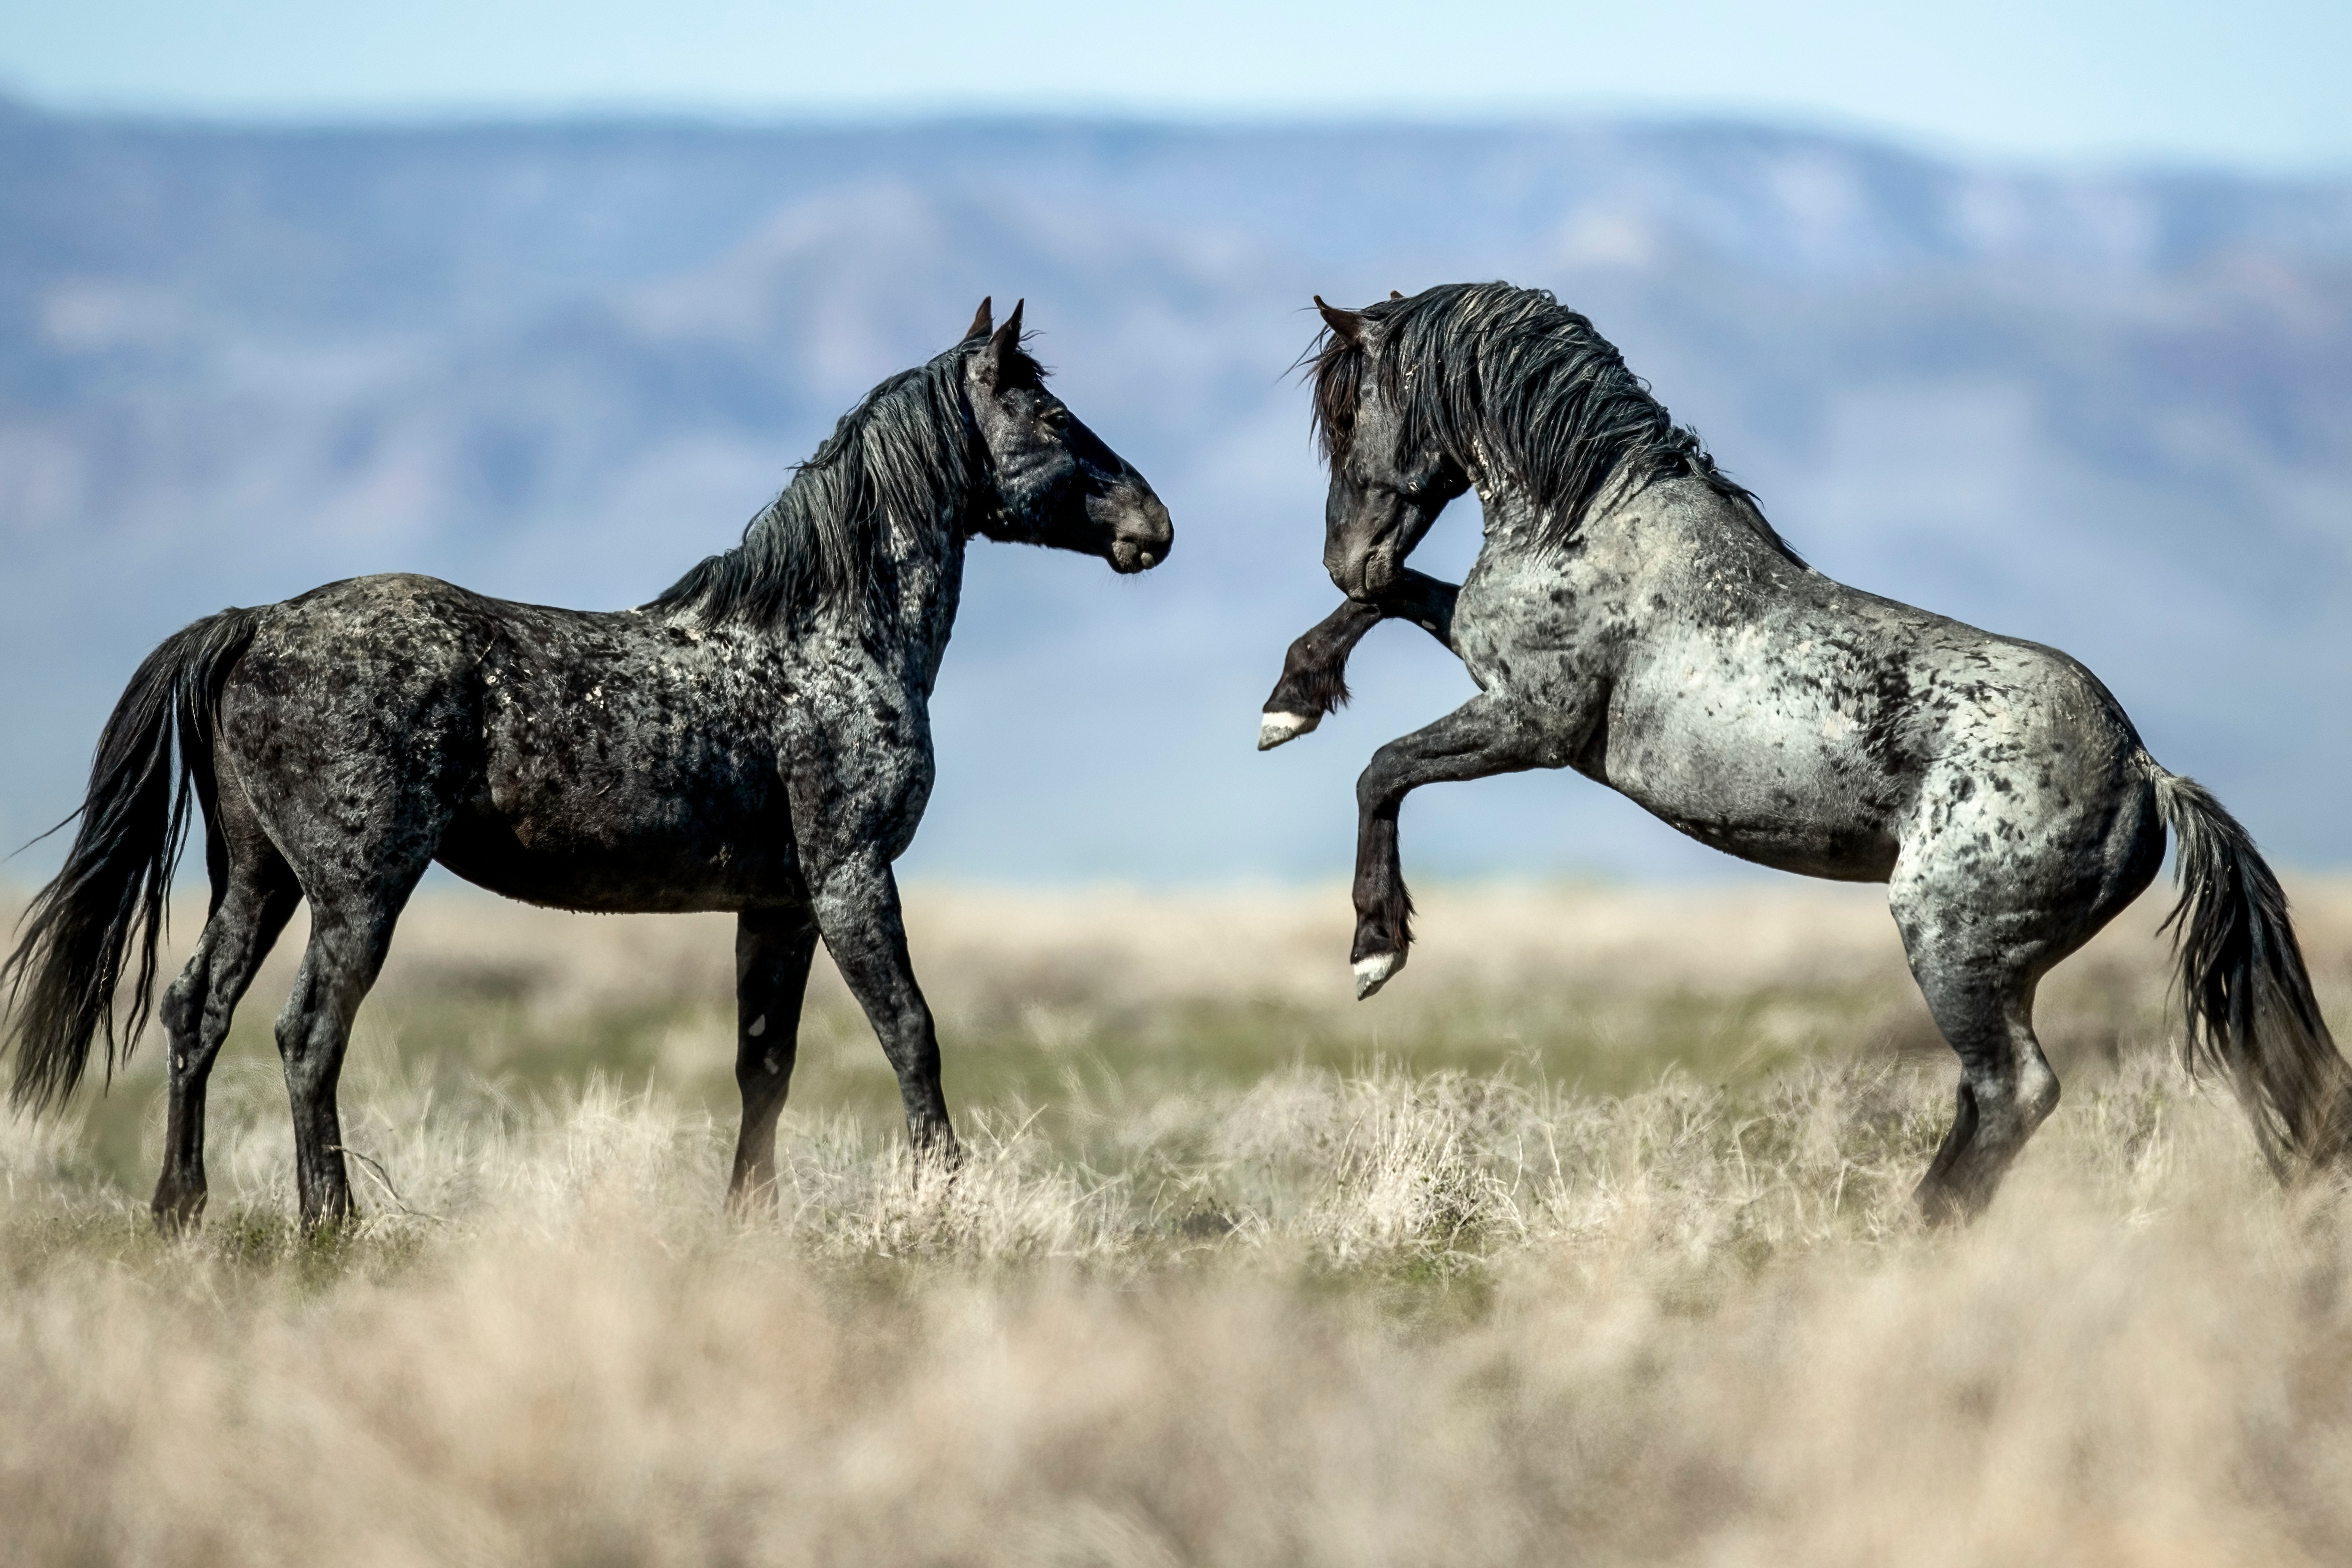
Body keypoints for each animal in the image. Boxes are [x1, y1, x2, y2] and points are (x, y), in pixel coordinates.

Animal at [2, 294, 1176, 1222]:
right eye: (1053, 416)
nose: (1152, 525)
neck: (825, 636)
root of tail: (251, 622)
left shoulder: (780, 905)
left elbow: (765, 1062)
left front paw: (749, 1216)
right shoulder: (852, 878)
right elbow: (910, 1032)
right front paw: (944, 1197)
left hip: (257, 877)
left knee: (196, 1009)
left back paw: (180, 1207)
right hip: (355, 892)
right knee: (306, 1033)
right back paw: (330, 1220)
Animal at [1270, 282, 2352, 1222]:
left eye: (1349, 411)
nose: (1340, 553)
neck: (1596, 519)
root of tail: (2141, 771)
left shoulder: (1531, 724)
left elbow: (1383, 768)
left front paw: (1374, 948)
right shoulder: (1481, 657)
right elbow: (1394, 600)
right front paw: (1290, 702)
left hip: (1950, 945)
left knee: (2013, 1090)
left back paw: (1914, 1235)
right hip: (1998, 965)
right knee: (1985, 1096)